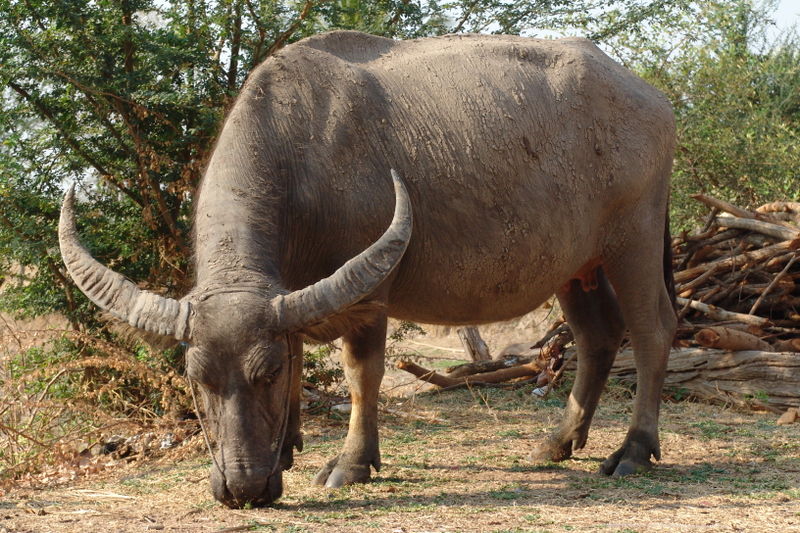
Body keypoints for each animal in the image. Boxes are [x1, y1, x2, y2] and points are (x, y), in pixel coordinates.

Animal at [61, 30, 676, 508]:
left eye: (264, 375)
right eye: (198, 379)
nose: (242, 487)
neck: (303, 158)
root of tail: (650, 97)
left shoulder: (369, 296)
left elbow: (361, 375)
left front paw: (351, 463)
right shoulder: (291, 293)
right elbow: (299, 351)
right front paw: (287, 447)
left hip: (636, 241)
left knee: (651, 330)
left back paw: (632, 449)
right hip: (578, 266)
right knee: (597, 336)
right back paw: (558, 441)